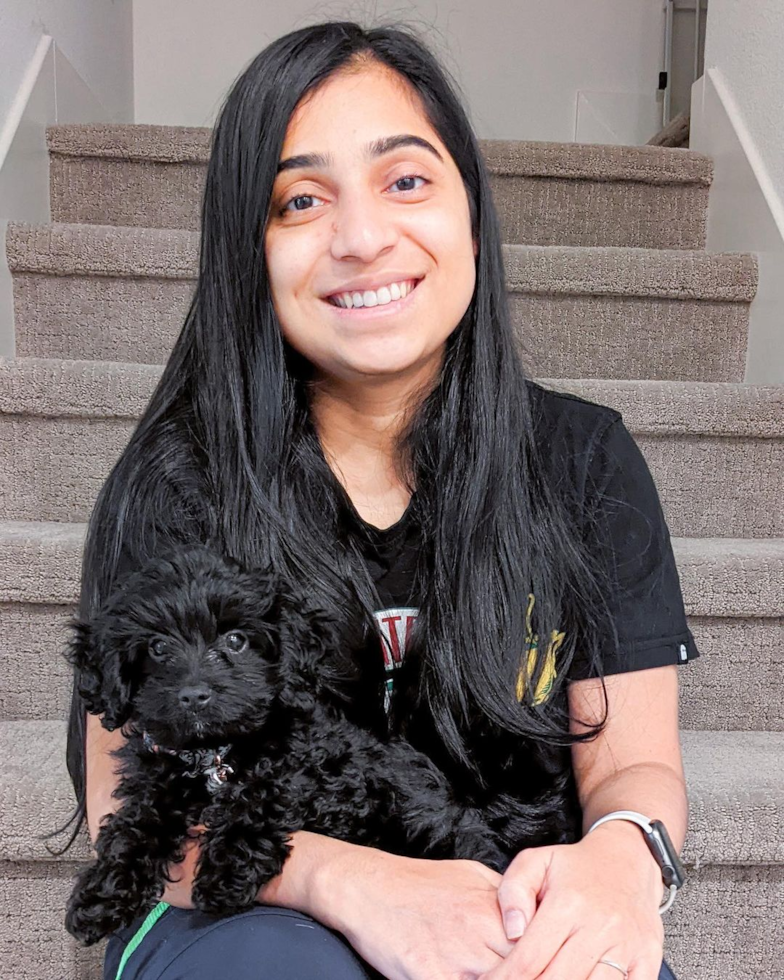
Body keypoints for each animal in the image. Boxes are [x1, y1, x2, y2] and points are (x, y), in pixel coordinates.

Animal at [66, 548, 508, 944]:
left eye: (237, 640)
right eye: (157, 648)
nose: (193, 696)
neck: (217, 752)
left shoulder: (331, 775)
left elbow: (265, 791)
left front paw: (226, 873)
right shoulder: (161, 778)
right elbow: (137, 823)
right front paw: (101, 896)